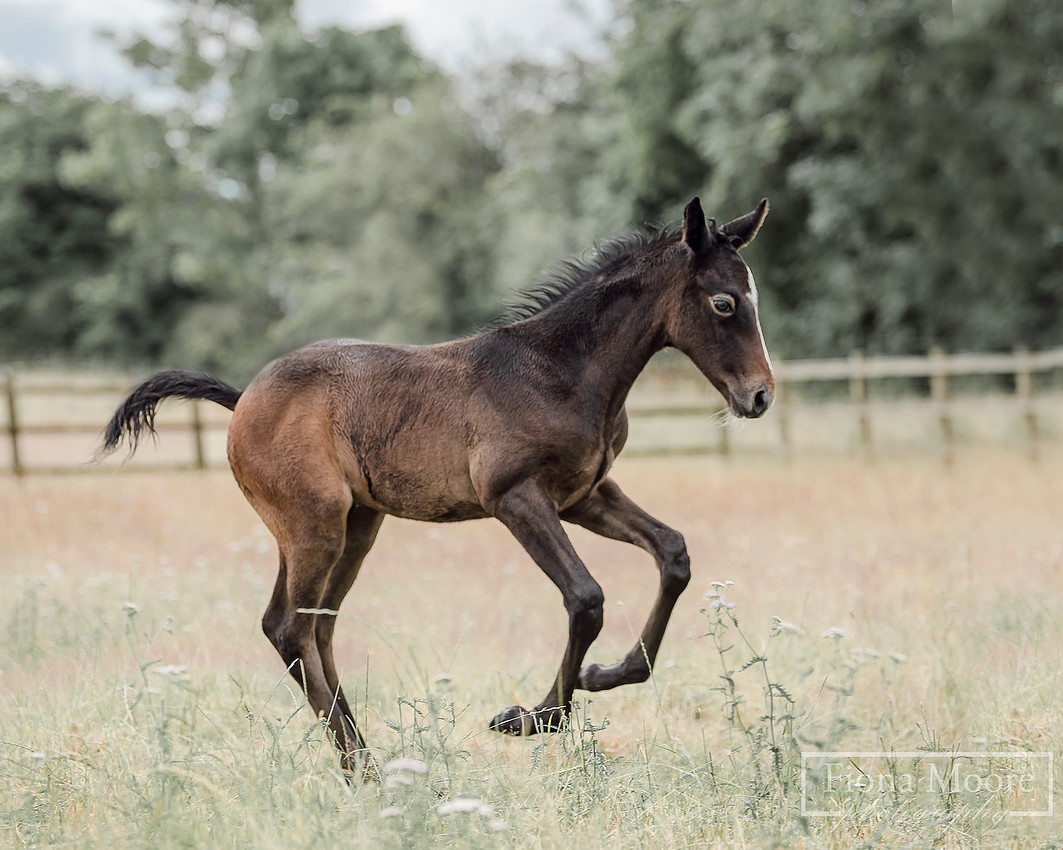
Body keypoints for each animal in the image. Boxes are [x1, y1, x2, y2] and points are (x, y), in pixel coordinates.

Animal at [98, 197, 774, 778]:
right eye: (723, 303)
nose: (760, 396)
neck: (561, 371)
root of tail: (243, 402)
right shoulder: (515, 498)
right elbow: (586, 597)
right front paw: (526, 718)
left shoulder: (584, 495)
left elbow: (673, 553)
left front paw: (607, 674)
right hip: (313, 525)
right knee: (289, 627)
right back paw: (361, 769)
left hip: (355, 527)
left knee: (315, 627)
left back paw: (364, 761)